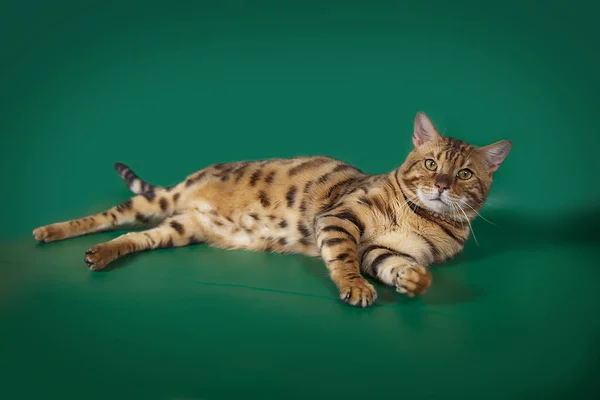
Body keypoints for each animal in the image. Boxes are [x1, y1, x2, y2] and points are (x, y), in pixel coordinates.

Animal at [31, 114, 510, 308]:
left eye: (464, 174)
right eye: (430, 164)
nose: (441, 185)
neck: (422, 219)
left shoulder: (377, 250)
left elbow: (394, 265)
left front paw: (414, 280)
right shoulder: (339, 218)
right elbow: (343, 259)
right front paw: (354, 287)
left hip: (180, 227)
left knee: (136, 237)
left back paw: (101, 254)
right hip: (159, 201)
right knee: (107, 218)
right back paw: (50, 231)